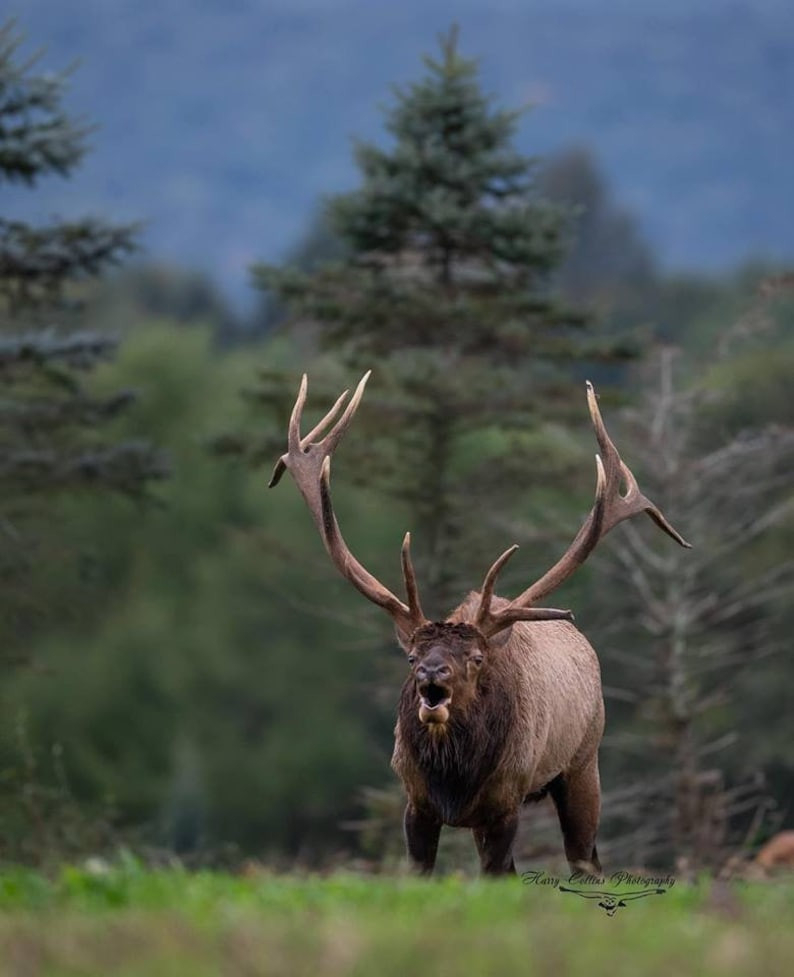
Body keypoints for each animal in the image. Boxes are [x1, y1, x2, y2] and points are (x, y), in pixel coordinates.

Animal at [268, 374, 688, 876]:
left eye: (476, 658)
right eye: (411, 656)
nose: (432, 672)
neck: (455, 781)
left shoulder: (505, 800)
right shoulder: (416, 802)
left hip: (584, 763)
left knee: (585, 860)